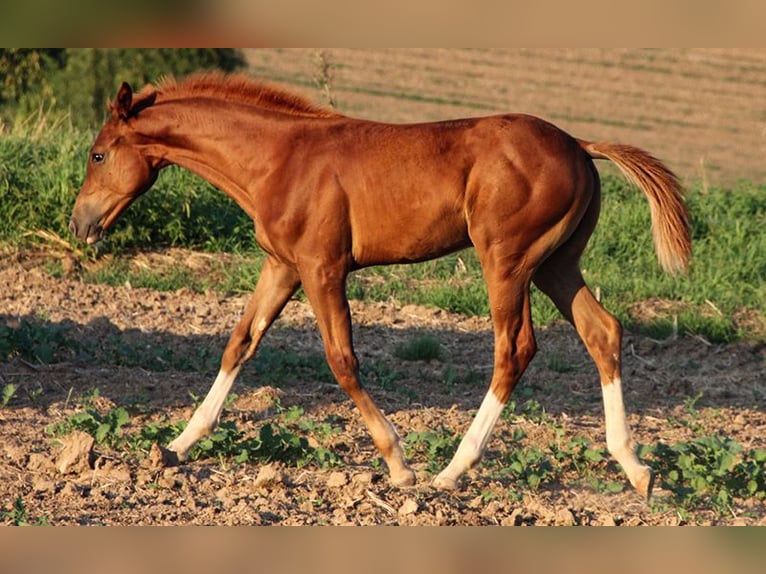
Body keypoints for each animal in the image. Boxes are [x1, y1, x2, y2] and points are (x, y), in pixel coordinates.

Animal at [72, 73, 692, 500]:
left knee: (514, 348)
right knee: (602, 331)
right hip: (554, 264)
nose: (81, 225)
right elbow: (239, 344)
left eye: (99, 153)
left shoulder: (322, 268)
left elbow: (341, 359)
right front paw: (176, 446)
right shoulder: (281, 266)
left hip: (507, 261)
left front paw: (399, 464)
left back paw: (451, 470)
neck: (279, 160)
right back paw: (635, 468)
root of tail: (580, 145)